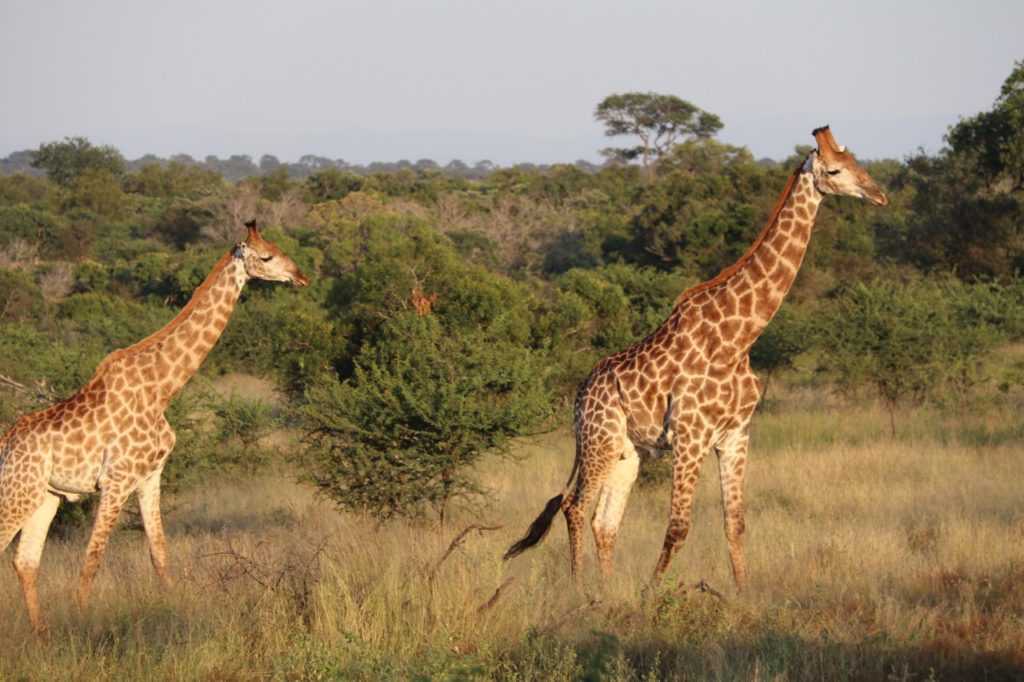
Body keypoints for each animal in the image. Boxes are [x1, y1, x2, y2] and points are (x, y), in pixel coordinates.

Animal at [0, 220, 307, 630]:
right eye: (267, 256)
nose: (300, 276)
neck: (162, 389)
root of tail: (4, 445)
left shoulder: (150, 477)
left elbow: (160, 555)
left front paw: (180, 618)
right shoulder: (117, 479)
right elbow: (92, 559)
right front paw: (81, 624)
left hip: (43, 496)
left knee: (25, 561)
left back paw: (40, 634)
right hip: (17, 491)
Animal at [505, 124, 888, 585]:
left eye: (856, 162)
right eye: (834, 170)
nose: (880, 195)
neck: (738, 339)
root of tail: (580, 395)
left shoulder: (736, 435)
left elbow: (734, 524)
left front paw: (744, 595)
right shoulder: (690, 437)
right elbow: (677, 528)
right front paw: (653, 593)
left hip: (628, 452)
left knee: (605, 522)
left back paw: (606, 592)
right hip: (599, 440)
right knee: (575, 506)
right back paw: (581, 589)